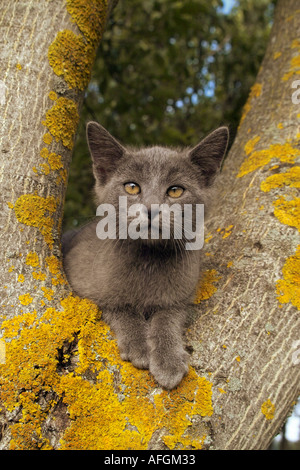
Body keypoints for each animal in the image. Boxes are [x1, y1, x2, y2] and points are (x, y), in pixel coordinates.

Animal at [62, 122, 229, 390]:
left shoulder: (182, 294)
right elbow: (118, 304)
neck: (149, 258)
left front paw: (168, 360)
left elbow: (168, 316)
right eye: (131, 187)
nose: (151, 210)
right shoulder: (81, 281)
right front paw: (139, 345)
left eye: (175, 191)